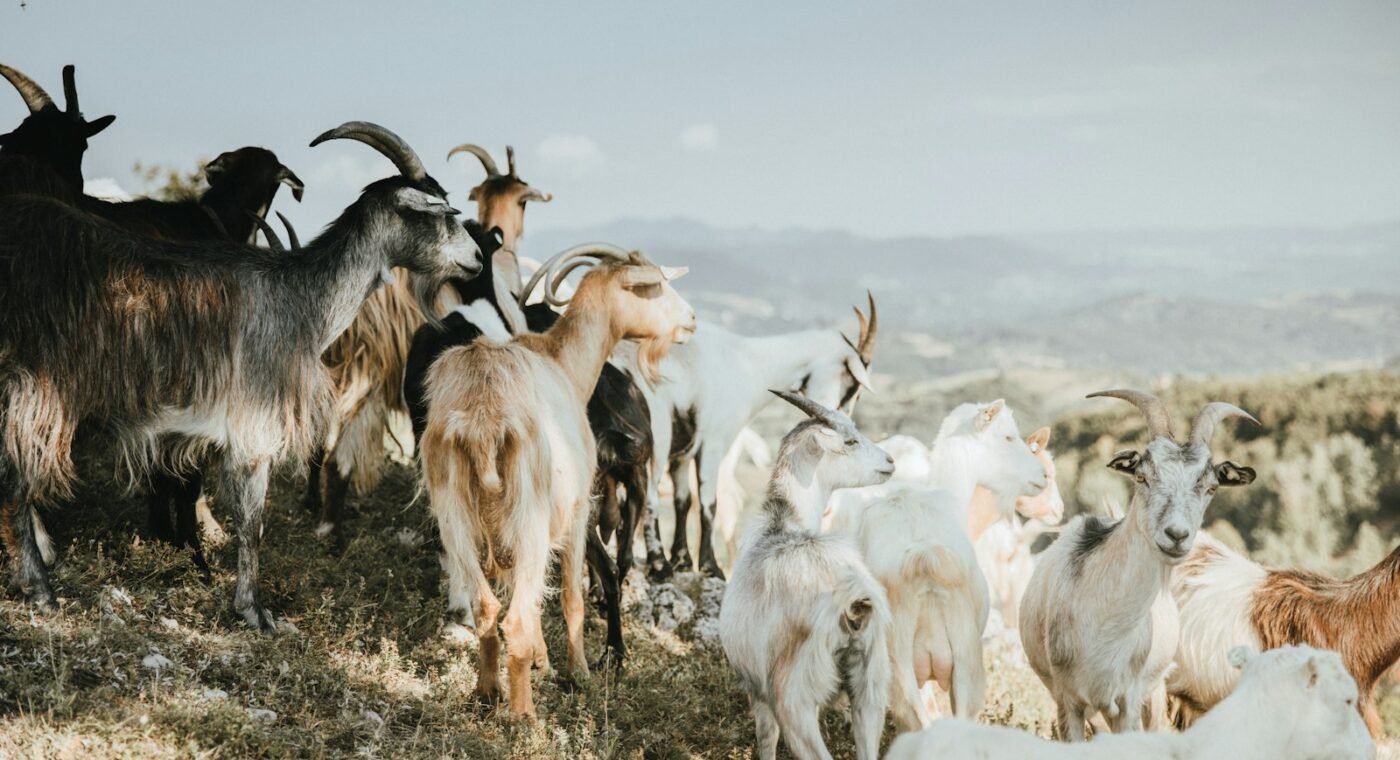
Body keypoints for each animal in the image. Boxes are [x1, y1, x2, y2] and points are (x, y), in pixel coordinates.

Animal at [0, 121, 482, 630]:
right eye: (441, 211)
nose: (475, 259)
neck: (300, 299)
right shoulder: (253, 425)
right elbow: (252, 522)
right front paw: (254, 610)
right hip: (38, 383)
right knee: (13, 477)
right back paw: (39, 587)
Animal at [420, 246, 693, 718]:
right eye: (655, 285)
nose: (691, 319)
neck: (561, 362)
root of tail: (482, 417)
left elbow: (532, 595)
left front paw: (542, 661)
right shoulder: (577, 510)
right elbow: (571, 597)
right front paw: (576, 670)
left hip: (456, 517)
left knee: (487, 608)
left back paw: (487, 693)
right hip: (527, 512)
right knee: (514, 617)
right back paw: (524, 715)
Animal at [638, 294, 878, 580]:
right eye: (853, 385)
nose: (840, 419)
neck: (746, 361)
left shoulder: (684, 453)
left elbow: (682, 501)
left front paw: (682, 561)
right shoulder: (713, 442)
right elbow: (709, 503)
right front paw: (710, 567)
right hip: (659, 437)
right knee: (650, 496)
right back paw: (658, 565)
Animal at [720, 390, 894, 760]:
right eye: (850, 440)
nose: (890, 461)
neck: (784, 519)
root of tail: (852, 602)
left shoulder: (758, 689)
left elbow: (766, 738)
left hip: (795, 700)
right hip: (870, 691)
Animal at [1019, 390, 1258, 739]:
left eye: (1211, 487)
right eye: (1142, 477)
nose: (1177, 535)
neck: (1106, 624)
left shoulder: (1129, 698)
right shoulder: (1068, 700)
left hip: (1155, 690)